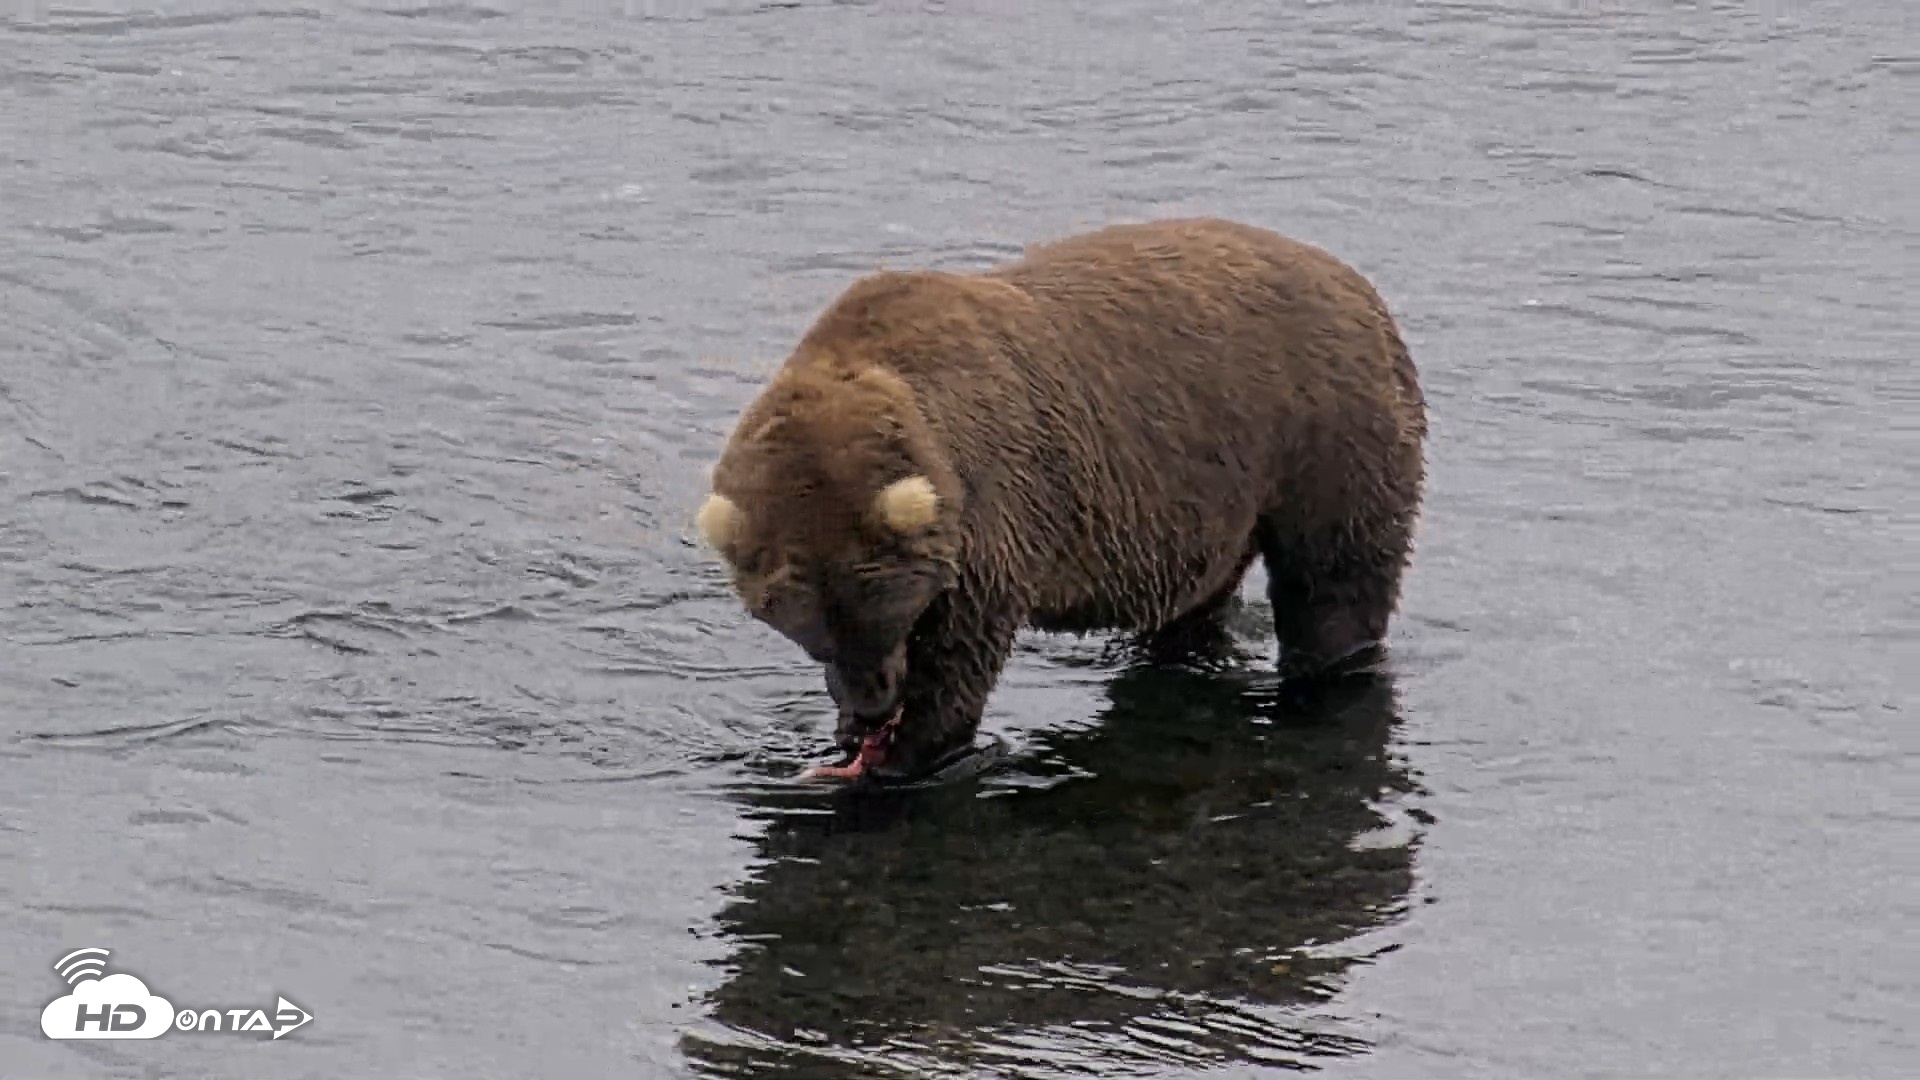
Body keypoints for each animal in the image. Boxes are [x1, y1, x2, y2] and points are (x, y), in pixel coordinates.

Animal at [695, 217, 1427, 784]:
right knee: (1201, 592)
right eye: (810, 633)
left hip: (1324, 430)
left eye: (881, 616)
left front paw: (912, 752)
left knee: (1334, 579)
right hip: (1218, 495)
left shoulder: (992, 512)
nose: (872, 708)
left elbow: (964, 652)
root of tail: (1358, 284)